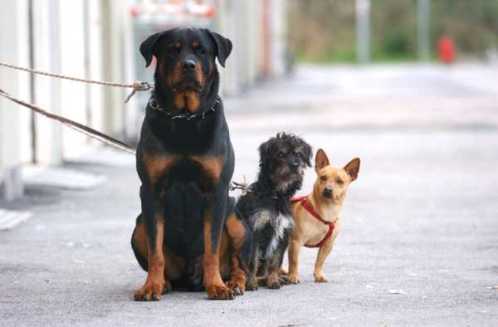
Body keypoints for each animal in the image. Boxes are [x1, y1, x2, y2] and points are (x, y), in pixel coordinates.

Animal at [129, 26, 244, 302]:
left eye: (201, 50)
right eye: (173, 50)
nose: (189, 65)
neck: (184, 118)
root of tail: (190, 278)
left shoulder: (217, 190)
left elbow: (212, 247)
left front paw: (217, 286)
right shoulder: (151, 190)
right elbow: (156, 250)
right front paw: (151, 286)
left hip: (235, 219)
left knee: (238, 263)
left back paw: (234, 283)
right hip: (138, 226)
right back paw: (164, 283)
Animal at [229, 135, 312, 290]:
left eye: (298, 154)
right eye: (280, 154)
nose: (295, 164)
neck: (275, 196)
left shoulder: (283, 232)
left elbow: (275, 261)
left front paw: (273, 280)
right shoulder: (255, 230)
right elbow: (252, 261)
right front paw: (251, 282)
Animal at [286, 149, 360, 284]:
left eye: (340, 181)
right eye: (323, 178)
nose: (328, 189)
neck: (327, 211)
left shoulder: (328, 245)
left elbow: (320, 261)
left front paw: (318, 275)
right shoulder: (296, 242)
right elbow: (294, 262)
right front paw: (293, 276)